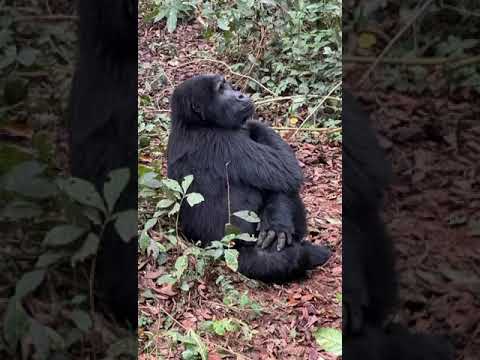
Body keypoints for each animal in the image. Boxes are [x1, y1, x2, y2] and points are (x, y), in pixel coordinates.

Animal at [168, 75, 330, 284]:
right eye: (221, 89)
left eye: (226, 84)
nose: (240, 94)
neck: (193, 123)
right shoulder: (225, 142)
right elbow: (286, 170)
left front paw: (276, 223)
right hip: (243, 259)